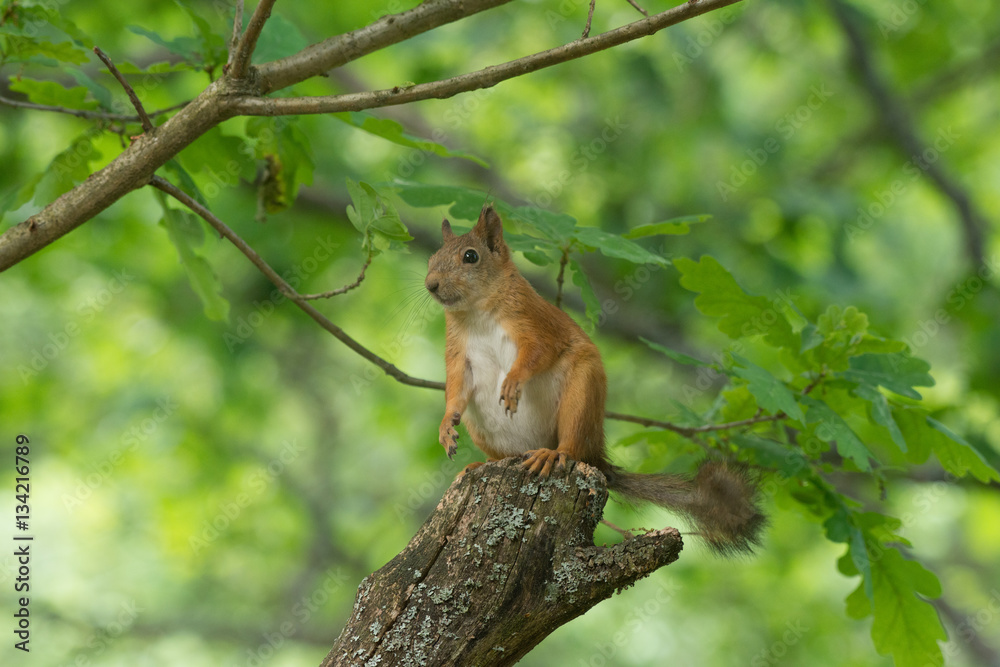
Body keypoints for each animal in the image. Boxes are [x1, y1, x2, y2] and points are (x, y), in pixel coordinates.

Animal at [425, 204, 766, 555]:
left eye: (471, 256)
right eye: (433, 257)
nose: (431, 285)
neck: (476, 313)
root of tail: (596, 457)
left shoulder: (535, 323)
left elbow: (539, 352)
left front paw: (512, 381)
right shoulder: (459, 353)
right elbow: (456, 389)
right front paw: (446, 426)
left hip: (581, 396)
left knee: (572, 448)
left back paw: (553, 455)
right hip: (483, 426)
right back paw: (481, 465)